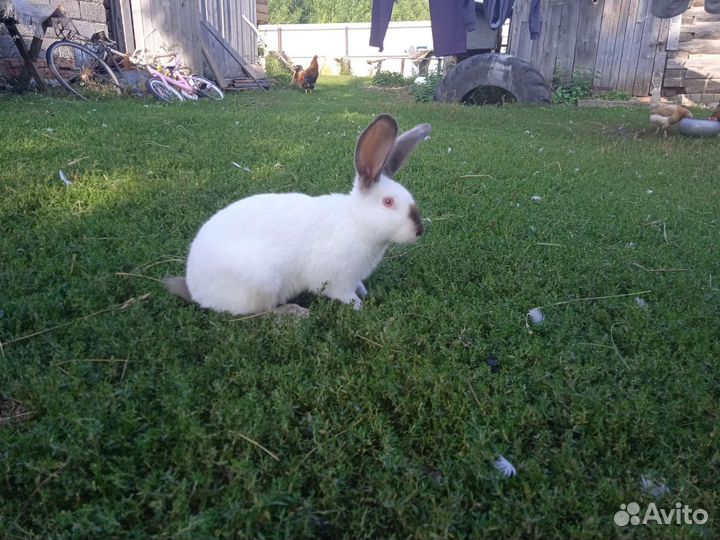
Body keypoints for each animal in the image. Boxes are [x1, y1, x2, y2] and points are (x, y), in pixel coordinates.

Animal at [165, 114, 430, 316]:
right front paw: (358, 306)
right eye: (388, 202)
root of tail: (195, 289)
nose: (419, 231)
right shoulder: (336, 280)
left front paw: (363, 291)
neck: (356, 222)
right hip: (261, 282)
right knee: (259, 313)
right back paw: (294, 313)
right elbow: (344, 295)